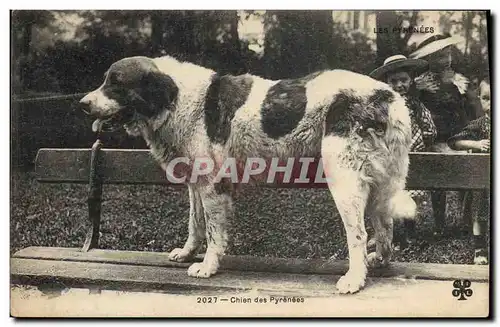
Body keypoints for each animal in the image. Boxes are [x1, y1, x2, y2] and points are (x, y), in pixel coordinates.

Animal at [80, 55, 416, 294]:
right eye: (105, 80)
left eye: (115, 83)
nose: (83, 104)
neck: (176, 101)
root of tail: (387, 95)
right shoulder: (196, 184)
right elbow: (195, 224)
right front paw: (187, 253)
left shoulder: (213, 186)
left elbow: (213, 232)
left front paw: (207, 267)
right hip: (379, 185)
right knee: (385, 226)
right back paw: (379, 261)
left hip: (344, 180)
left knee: (358, 234)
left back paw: (354, 279)